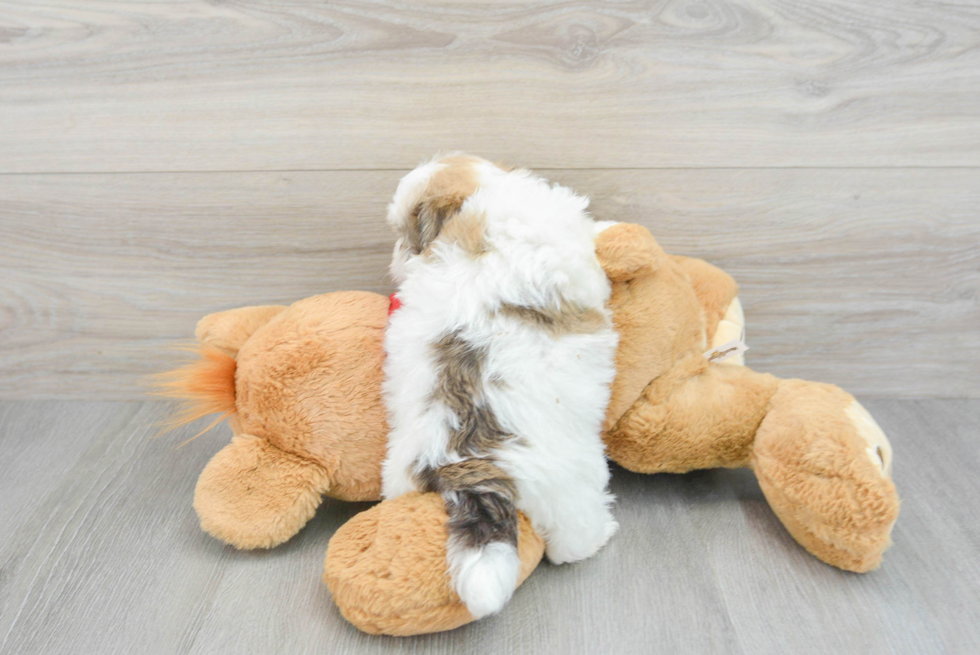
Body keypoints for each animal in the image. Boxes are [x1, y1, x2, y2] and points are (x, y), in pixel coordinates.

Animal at [378, 152, 616, 620]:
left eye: (407, 236)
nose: (397, 254)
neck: (482, 196)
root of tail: (465, 468)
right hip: (570, 489)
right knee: (571, 539)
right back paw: (599, 535)